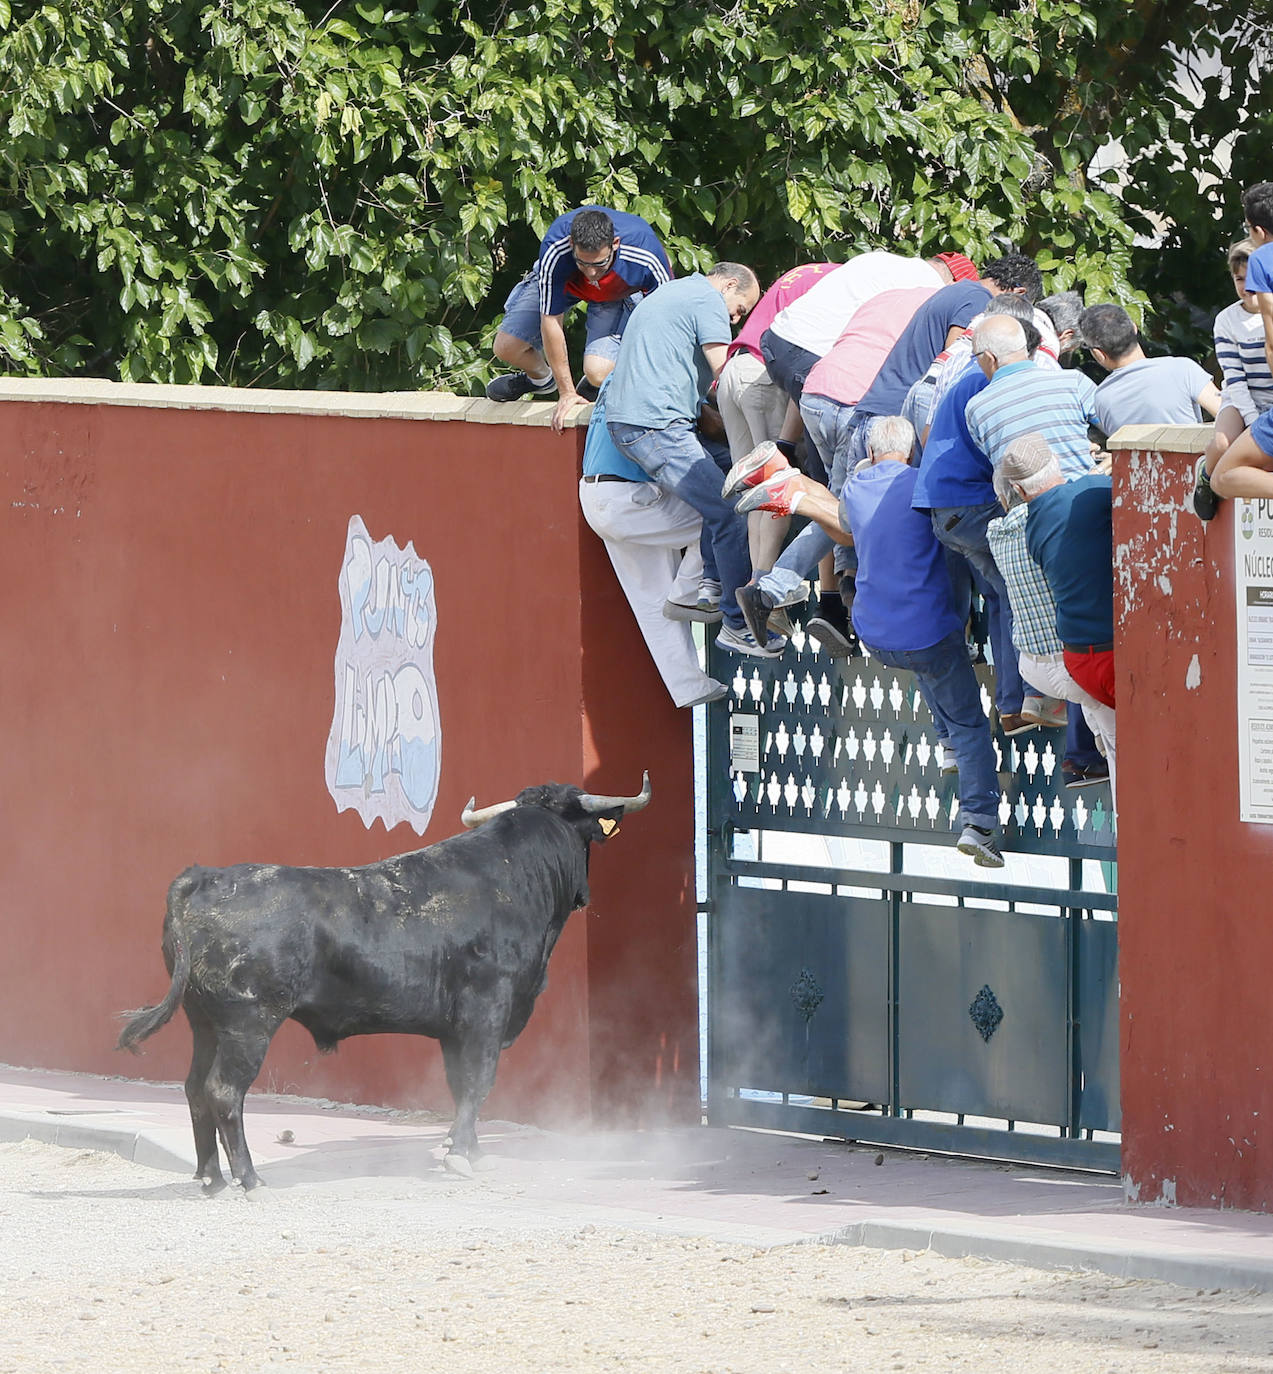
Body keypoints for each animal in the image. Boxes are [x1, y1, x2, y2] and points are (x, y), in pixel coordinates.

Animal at [116, 774, 651, 1192]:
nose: (585, 894)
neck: (512, 877)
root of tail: (206, 878)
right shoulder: (487, 1012)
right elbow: (479, 1082)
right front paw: (461, 1156)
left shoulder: (454, 1030)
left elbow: (460, 1086)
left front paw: (470, 1152)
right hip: (248, 1025)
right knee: (224, 1091)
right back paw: (249, 1180)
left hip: (203, 1022)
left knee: (192, 1088)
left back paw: (211, 1178)